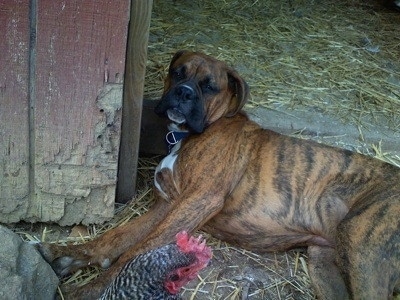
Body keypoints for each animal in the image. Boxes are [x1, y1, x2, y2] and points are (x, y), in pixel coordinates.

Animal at [38, 50, 400, 298]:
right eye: (177, 72)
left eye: (209, 86)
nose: (183, 91)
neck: (189, 135)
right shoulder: (166, 206)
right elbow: (117, 237)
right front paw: (68, 256)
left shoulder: (198, 201)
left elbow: (136, 250)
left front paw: (90, 290)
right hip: (324, 263)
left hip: (363, 250)